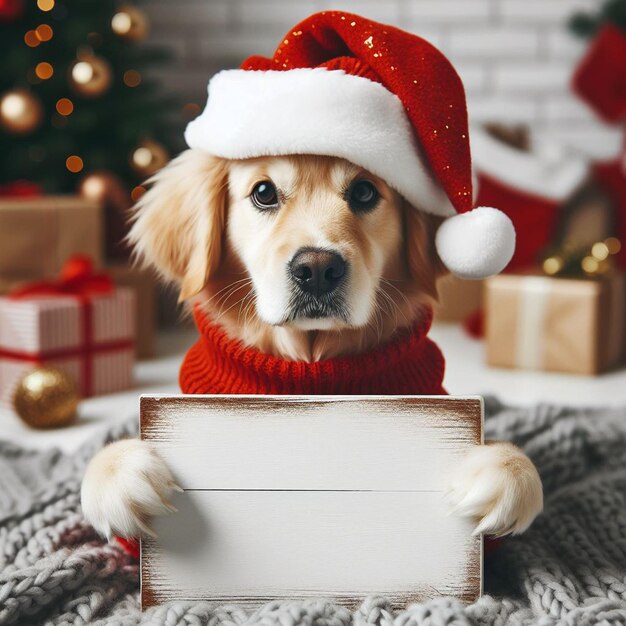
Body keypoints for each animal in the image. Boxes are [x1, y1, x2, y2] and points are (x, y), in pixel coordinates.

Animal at [81, 147, 540, 540]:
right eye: (264, 192)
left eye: (364, 191)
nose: (317, 270)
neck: (311, 361)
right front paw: (125, 476)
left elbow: (513, 460)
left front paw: (501, 473)